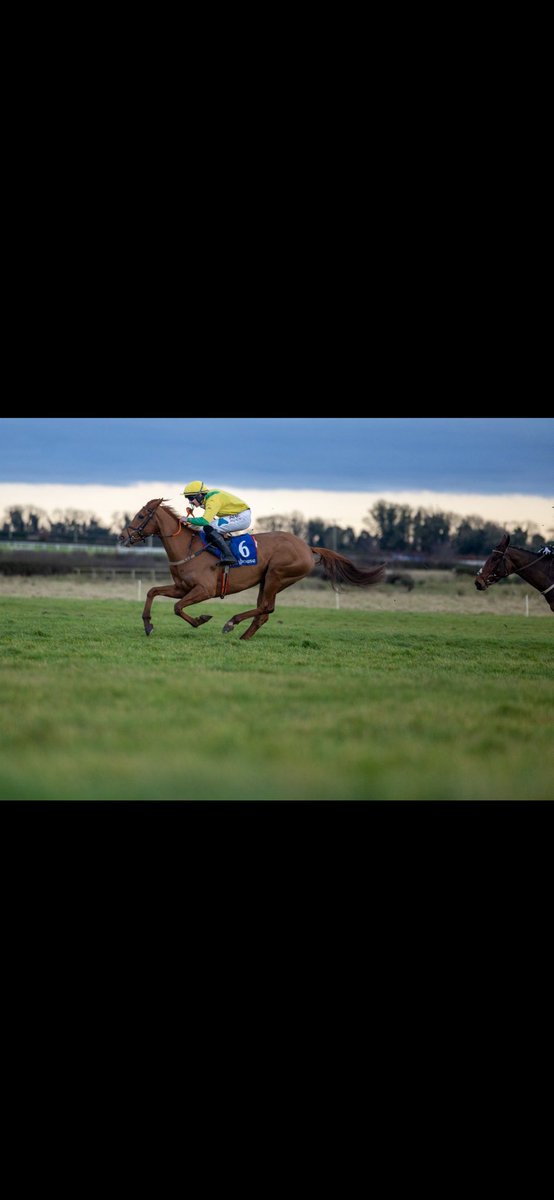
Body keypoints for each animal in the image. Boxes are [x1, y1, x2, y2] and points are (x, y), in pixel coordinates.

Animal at [119, 499, 386, 643]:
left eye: (141, 515)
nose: (122, 537)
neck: (188, 548)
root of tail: (306, 546)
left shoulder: (204, 589)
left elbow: (177, 607)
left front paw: (200, 620)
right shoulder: (181, 587)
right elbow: (153, 592)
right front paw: (148, 625)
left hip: (276, 575)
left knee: (266, 607)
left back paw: (231, 622)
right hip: (267, 580)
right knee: (265, 612)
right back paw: (244, 636)